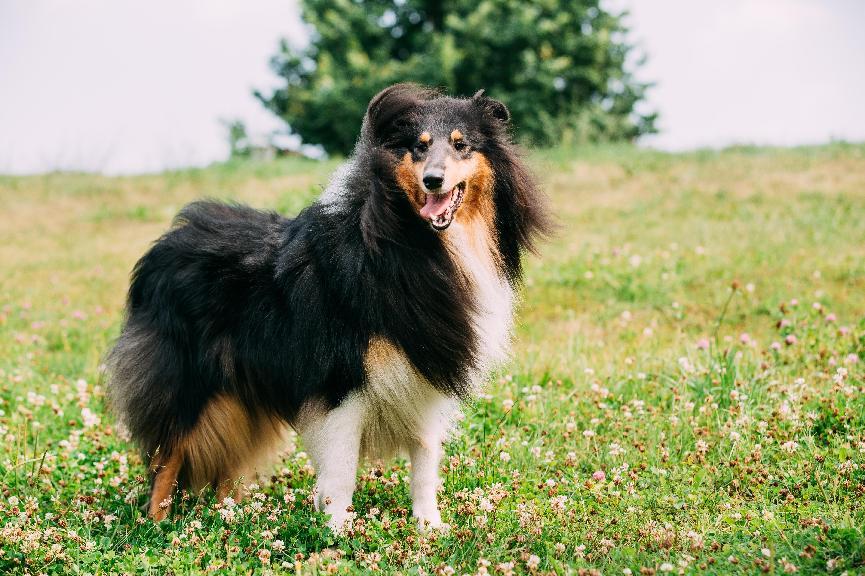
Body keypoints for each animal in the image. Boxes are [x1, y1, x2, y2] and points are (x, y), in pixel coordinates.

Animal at [106, 82, 548, 532]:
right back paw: (157, 523)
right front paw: (336, 530)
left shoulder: (425, 374)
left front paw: (429, 527)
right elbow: (341, 469)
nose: (433, 180)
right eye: (418, 147)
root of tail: (162, 246)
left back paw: (231, 515)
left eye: (461, 145)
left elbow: (425, 461)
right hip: (190, 381)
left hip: (241, 389)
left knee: (226, 464)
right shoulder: (342, 378)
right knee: (167, 456)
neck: (414, 244)